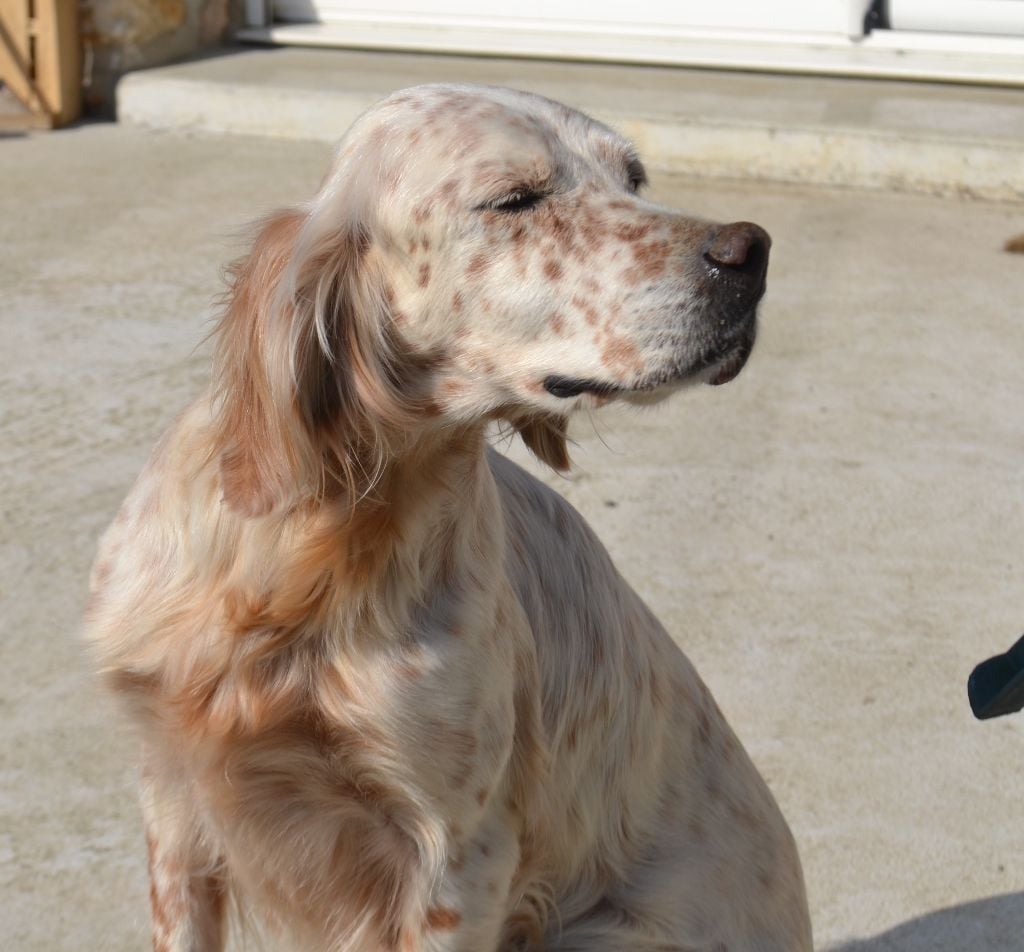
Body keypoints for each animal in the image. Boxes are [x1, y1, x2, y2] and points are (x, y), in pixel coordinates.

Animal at [86, 85, 806, 945]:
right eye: (514, 200)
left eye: (633, 178)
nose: (750, 252)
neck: (310, 551)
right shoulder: (173, 801)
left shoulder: (459, 855)